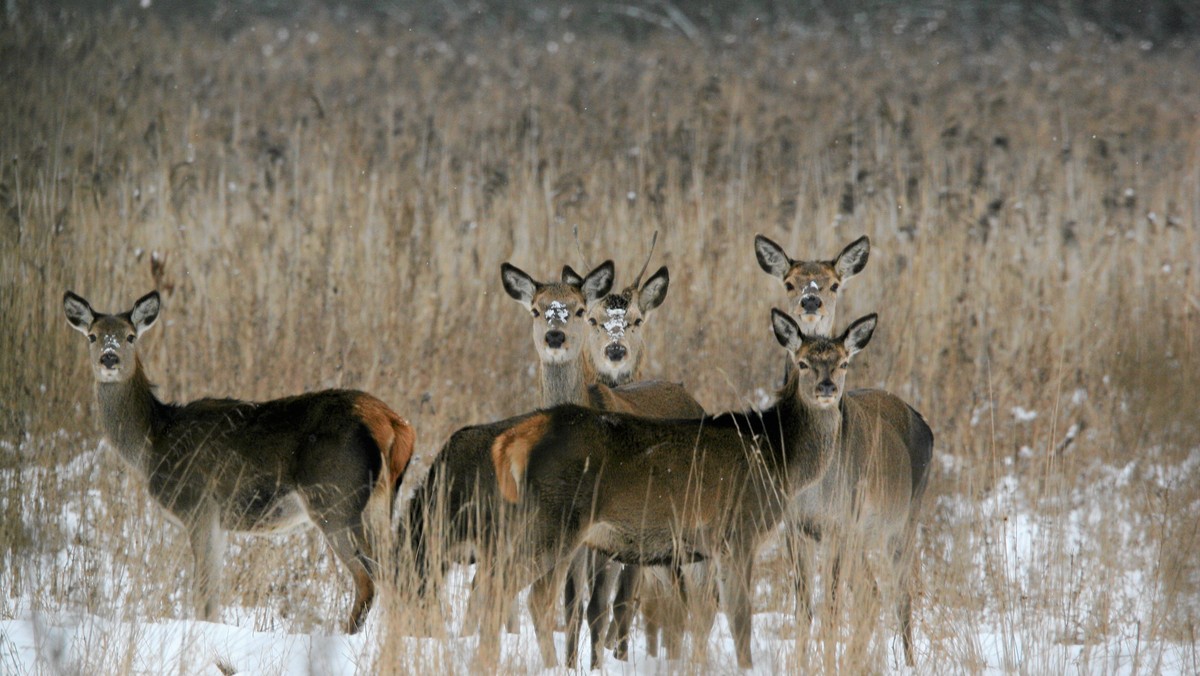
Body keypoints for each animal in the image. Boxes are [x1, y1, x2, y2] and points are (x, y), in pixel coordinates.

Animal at [63, 290, 415, 633]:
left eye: (130, 336)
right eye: (93, 336)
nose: (110, 358)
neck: (153, 441)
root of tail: (395, 424)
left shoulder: (198, 506)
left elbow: (203, 591)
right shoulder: (217, 522)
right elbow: (214, 592)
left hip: (335, 498)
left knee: (370, 579)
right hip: (378, 502)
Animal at [403, 258, 700, 667]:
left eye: (578, 310)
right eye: (536, 309)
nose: (555, 337)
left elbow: (595, 607)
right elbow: (567, 606)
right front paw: (571, 663)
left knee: (642, 600)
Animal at [492, 312, 878, 672]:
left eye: (844, 362)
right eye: (803, 363)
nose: (827, 387)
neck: (780, 457)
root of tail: (516, 441)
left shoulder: (705, 547)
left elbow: (703, 614)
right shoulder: (738, 531)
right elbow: (740, 617)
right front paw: (746, 667)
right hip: (554, 522)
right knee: (526, 595)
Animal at [753, 234, 931, 667]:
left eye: (834, 284)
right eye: (789, 282)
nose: (810, 300)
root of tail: (923, 422)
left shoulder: (840, 523)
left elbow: (832, 606)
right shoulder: (794, 525)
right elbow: (804, 608)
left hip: (903, 520)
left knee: (900, 595)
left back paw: (908, 662)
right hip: (865, 537)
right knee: (871, 593)